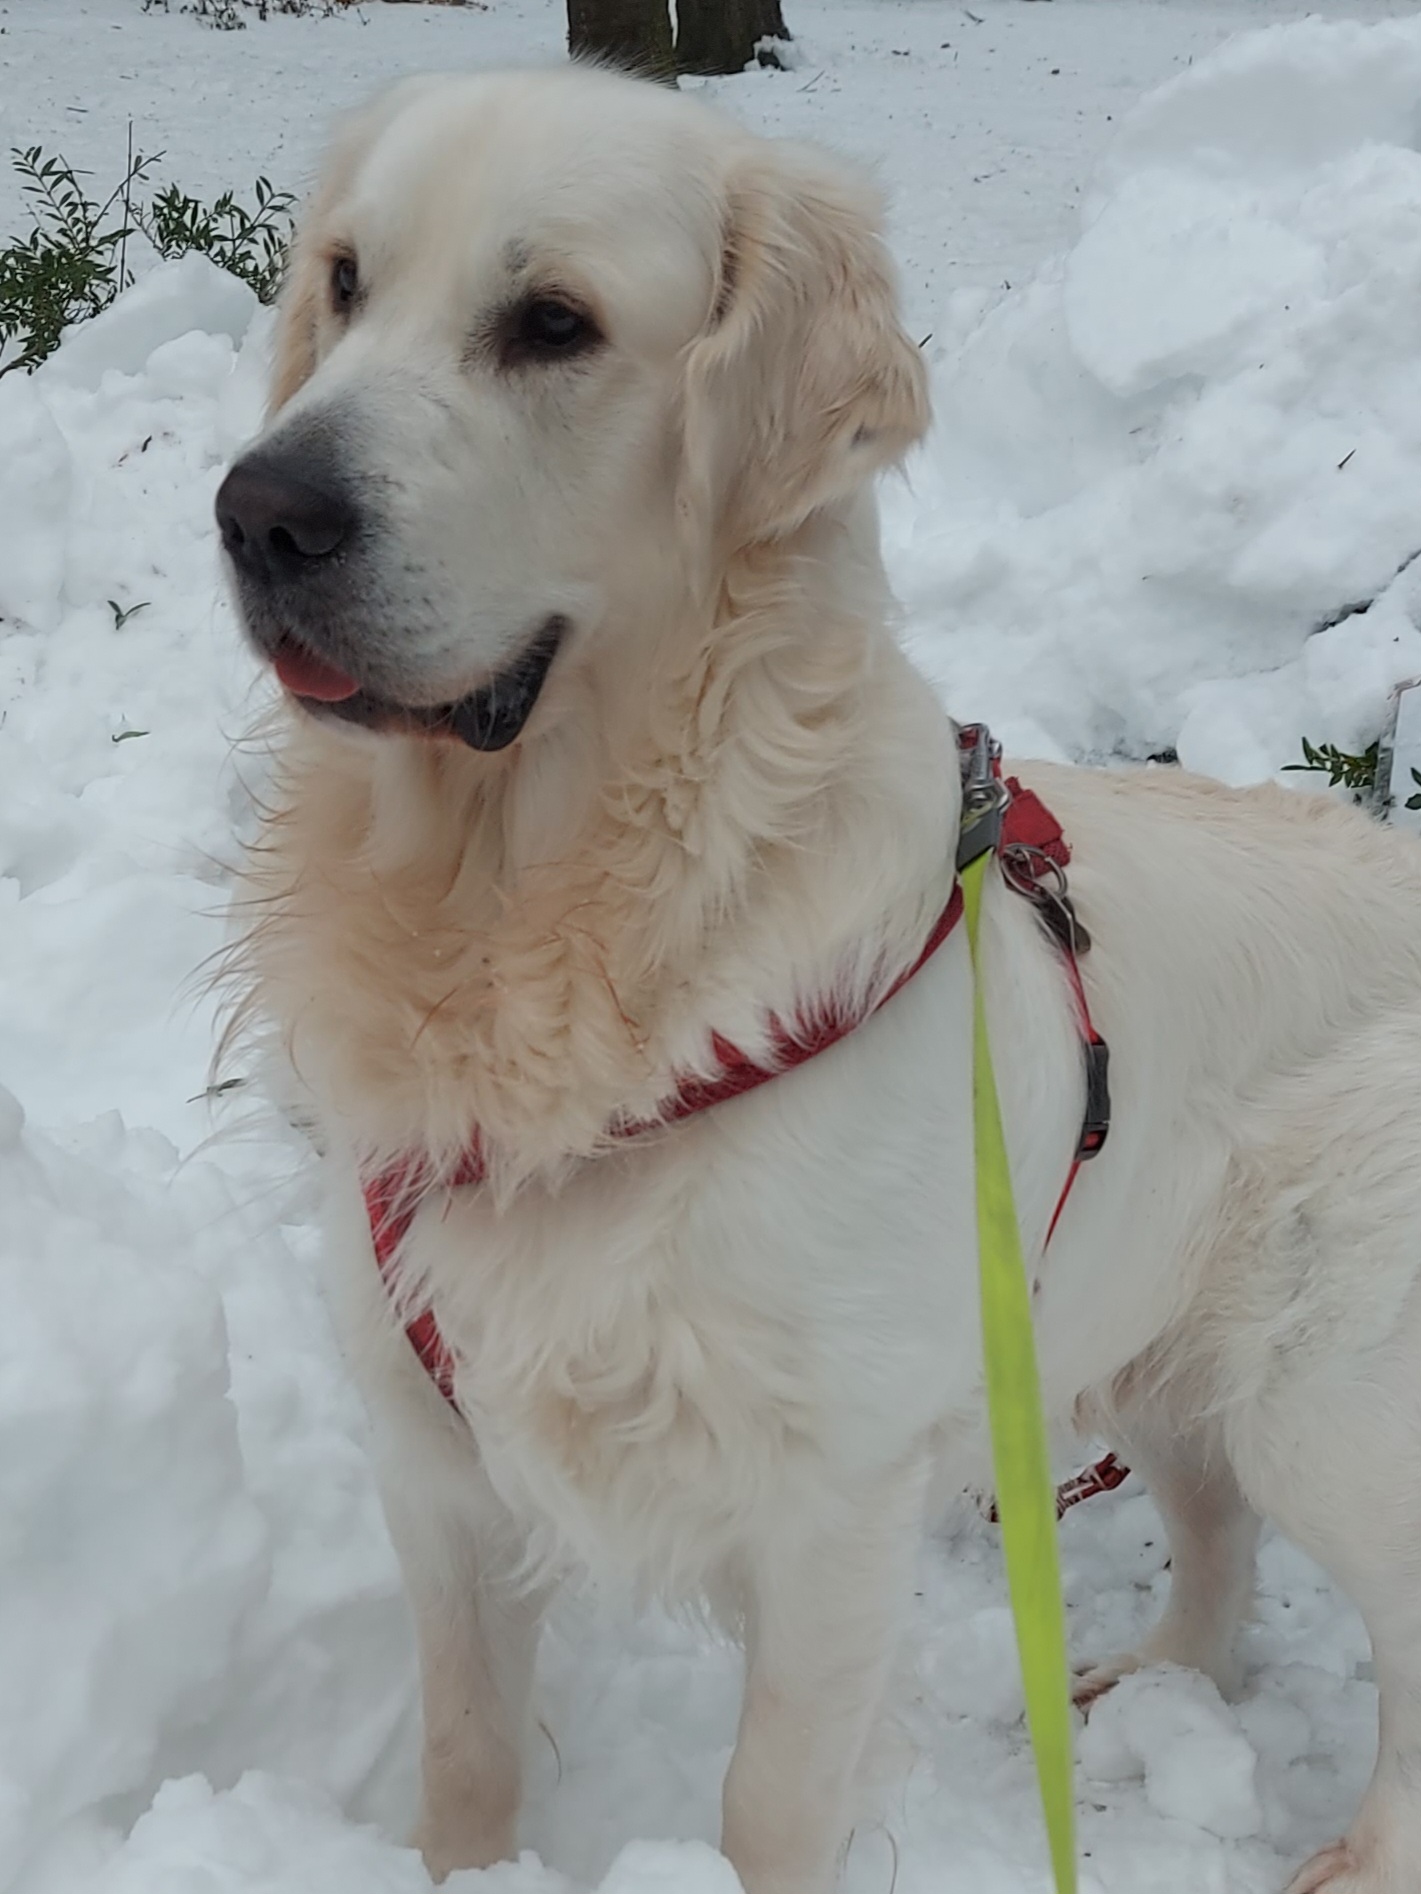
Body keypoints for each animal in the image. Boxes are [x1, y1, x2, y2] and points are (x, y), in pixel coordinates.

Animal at [217, 64, 1421, 1894]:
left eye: (552, 323)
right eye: (346, 281)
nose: (258, 513)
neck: (551, 920)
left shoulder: (828, 1502)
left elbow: (768, 1804)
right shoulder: (435, 1456)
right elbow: (466, 1749)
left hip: (1328, 1388)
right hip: (1146, 1325)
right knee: (1211, 1524)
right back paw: (1155, 1676)